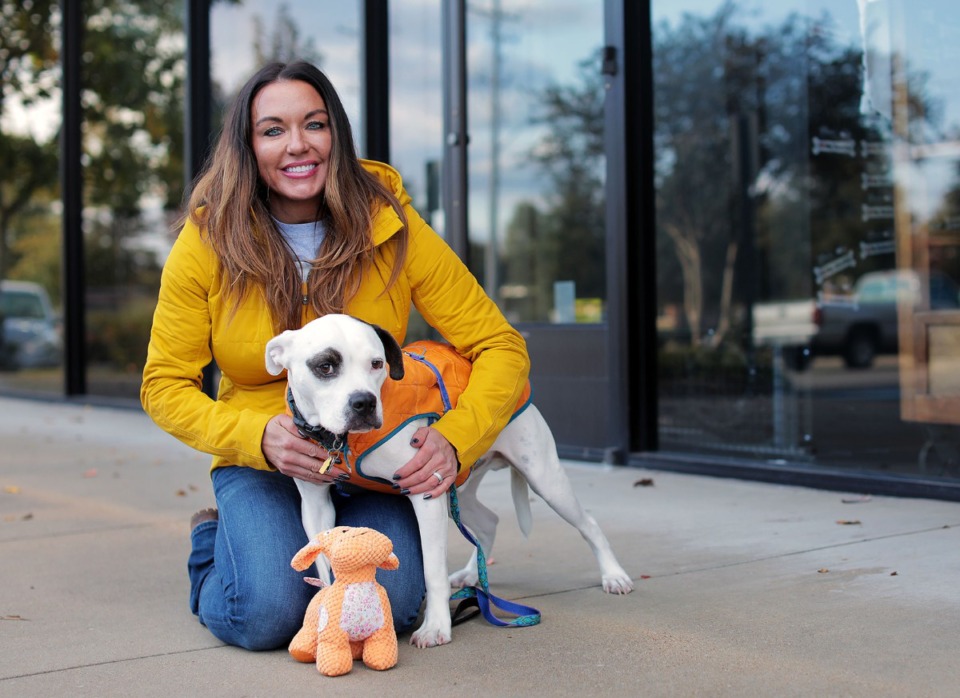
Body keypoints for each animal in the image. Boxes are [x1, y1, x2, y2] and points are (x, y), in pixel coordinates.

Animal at [266, 312, 632, 644]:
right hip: (459, 489)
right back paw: (472, 574)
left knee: (588, 523)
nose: (364, 403)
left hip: (544, 478)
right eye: (325, 366)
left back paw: (614, 576)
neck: (342, 442)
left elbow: (433, 570)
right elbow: (323, 565)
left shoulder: (426, 494)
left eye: (376, 364)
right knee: (488, 521)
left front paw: (436, 627)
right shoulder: (316, 506)